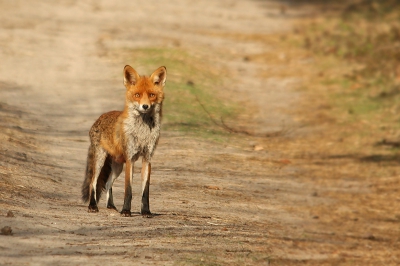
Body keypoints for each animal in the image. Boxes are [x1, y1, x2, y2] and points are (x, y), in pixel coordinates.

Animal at [82, 65, 166, 217]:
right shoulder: (130, 159)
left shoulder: (147, 158)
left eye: (152, 95)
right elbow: (129, 190)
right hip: (100, 161)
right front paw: (126, 210)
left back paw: (111, 206)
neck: (142, 131)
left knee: (108, 183)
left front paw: (146, 212)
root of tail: (100, 117)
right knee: (93, 182)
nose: (145, 106)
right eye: (137, 95)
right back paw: (93, 206)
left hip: (117, 167)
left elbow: (145, 192)